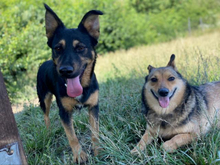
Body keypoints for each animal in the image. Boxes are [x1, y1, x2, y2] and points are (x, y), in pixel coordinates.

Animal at [37, 4, 103, 164]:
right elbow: (72, 137)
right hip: (44, 99)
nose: (65, 70)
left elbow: (95, 132)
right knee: (46, 116)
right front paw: (79, 156)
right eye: (57, 48)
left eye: (80, 48)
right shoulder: (64, 112)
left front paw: (98, 150)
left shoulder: (93, 107)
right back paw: (48, 133)